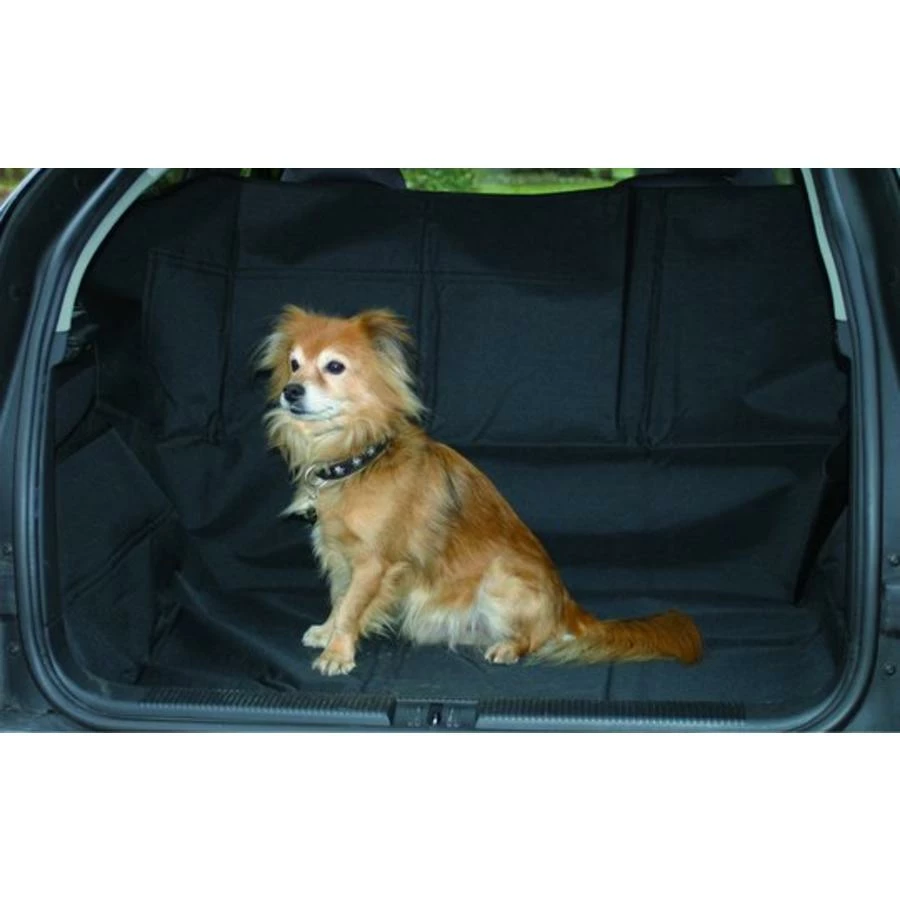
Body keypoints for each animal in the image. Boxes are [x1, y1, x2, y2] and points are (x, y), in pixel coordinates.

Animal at [259, 306, 702, 676]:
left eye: (334, 366)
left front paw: (337, 652)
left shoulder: (374, 564)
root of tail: (567, 607)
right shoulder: (338, 555)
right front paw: (326, 631)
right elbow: (340, 597)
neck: (358, 458)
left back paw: (508, 648)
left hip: (500, 578)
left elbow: (353, 607)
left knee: (537, 639)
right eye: (294, 365)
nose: (291, 390)